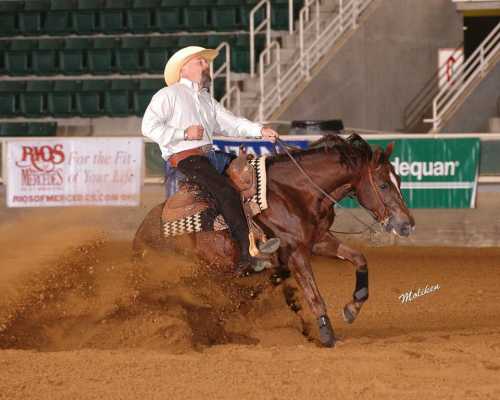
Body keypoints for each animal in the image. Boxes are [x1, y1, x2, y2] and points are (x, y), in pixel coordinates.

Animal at [133, 134, 414, 346]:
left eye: (399, 179)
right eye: (383, 185)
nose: (407, 224)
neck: (294, 193)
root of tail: (141, 234)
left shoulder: (318, 241)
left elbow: (359, 259)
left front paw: (353, 307)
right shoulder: (296, 253)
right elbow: (314, 295)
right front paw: (327, 335)